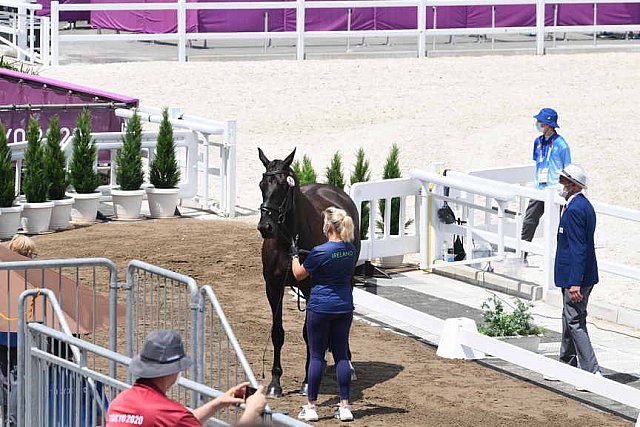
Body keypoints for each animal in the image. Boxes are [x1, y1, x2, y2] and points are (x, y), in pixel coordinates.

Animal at [258, 147, 362, 398]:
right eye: (262, 185)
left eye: (283, 186)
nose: (265, 227)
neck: (289, 242)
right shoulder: (273, 288)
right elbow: (278, 333)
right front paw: (275, 383)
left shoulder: (311, 288)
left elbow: (309, 334)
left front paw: (307, 381)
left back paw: (348, 363)